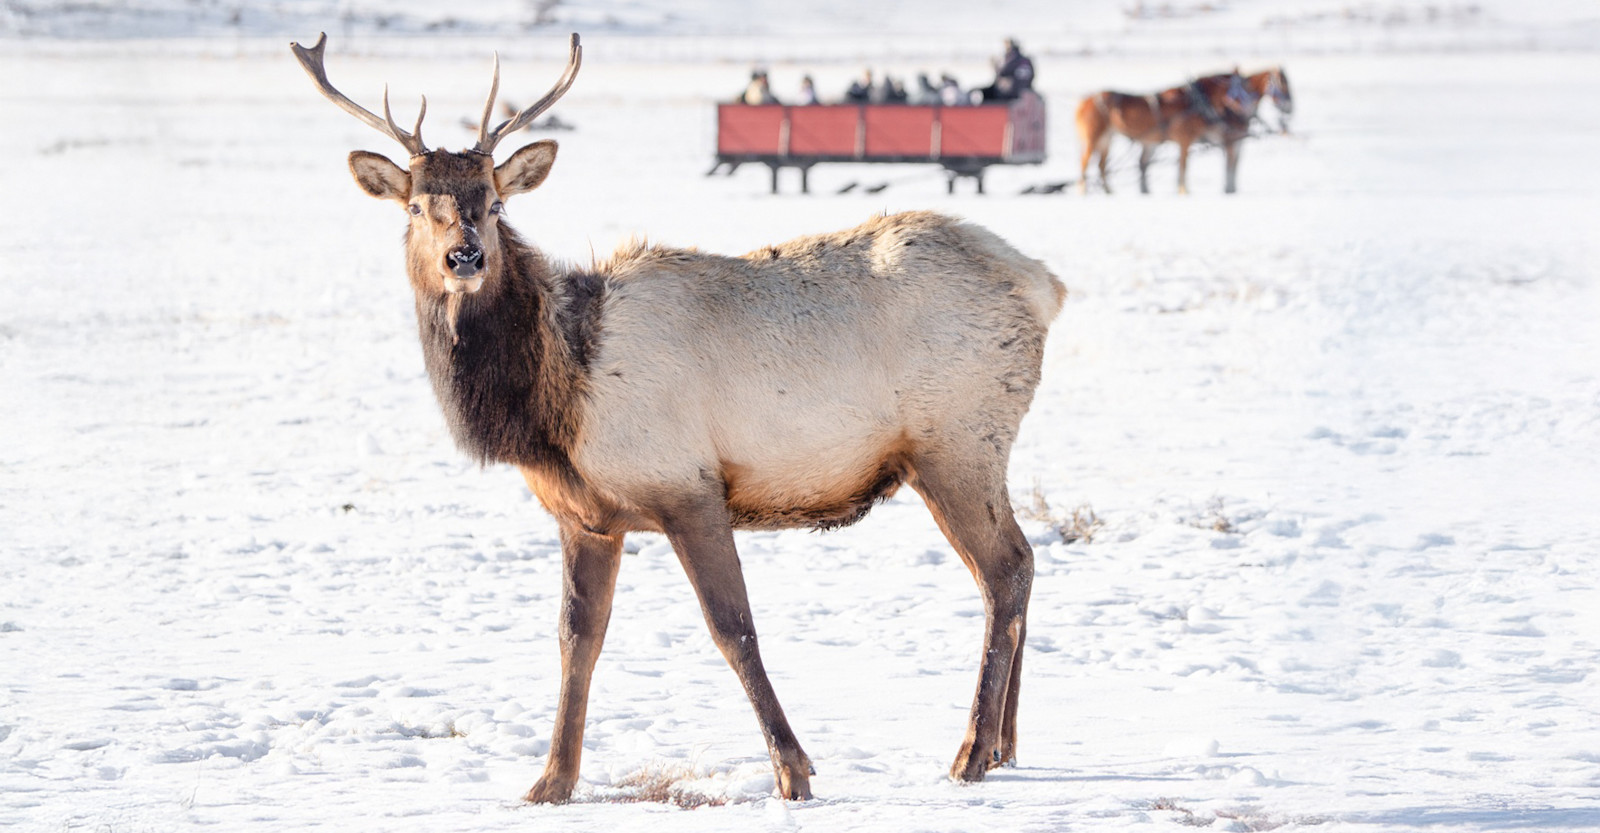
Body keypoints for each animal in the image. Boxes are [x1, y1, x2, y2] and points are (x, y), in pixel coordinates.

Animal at [289, 32, 1065, 804]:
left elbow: (733, 627)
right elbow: (577, 638)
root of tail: (1043, 282)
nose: (465, 256)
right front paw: (551, 779)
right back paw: (1005, 746)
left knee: (1004, 571)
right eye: (417, 208)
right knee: (1016, 565)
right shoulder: (585, 515)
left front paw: (793, 769)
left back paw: (971, 752)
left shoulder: (688, 486)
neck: (554, 407)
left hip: (957, 442)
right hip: (957, 453)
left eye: (496, 202)